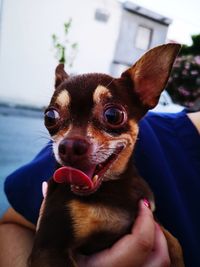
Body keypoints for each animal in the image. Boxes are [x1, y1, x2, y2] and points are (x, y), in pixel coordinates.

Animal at [28, 43, 184, 266]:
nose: (69, 146)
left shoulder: (152, 216)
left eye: (113, 115)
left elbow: (173, 239)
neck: (113, 186)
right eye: (50, 116)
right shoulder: (49, 249)